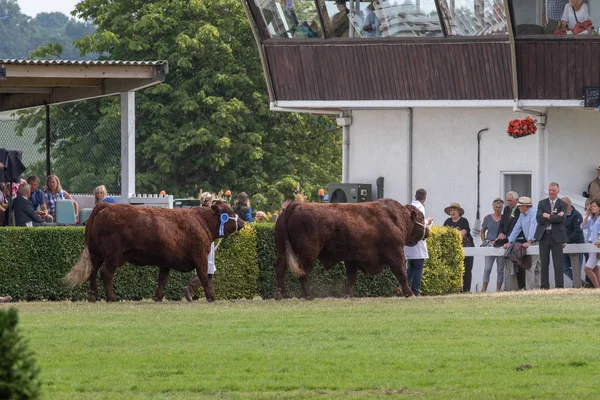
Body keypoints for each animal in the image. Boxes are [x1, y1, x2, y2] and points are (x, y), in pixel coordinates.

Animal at [64, 202, 243, 302]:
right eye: (229, 212)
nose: (241, 222)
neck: (201, 222)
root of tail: (106, 206)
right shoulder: (200, 258)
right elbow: (205, 278)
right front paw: (211, 297)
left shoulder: (166, 262)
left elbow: (162, 280)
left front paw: (157, 297)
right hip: (112, 256)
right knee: (106, 274)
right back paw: (111, 298)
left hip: (96, 254)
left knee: (93, 272)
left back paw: (93, 296)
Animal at [274, 200, 428, 300]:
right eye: (421, 217)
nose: (427, 232)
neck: (395, 218)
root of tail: (295, 204)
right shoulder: (396, 254)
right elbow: (401, 273)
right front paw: (410, 293)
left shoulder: (352, 259)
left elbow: (351, 277)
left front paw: (348, 295)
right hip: (309, 254)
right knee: (303, 272)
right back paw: (309, 296)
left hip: (282, 251)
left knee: (280, 268)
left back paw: (280, 295)